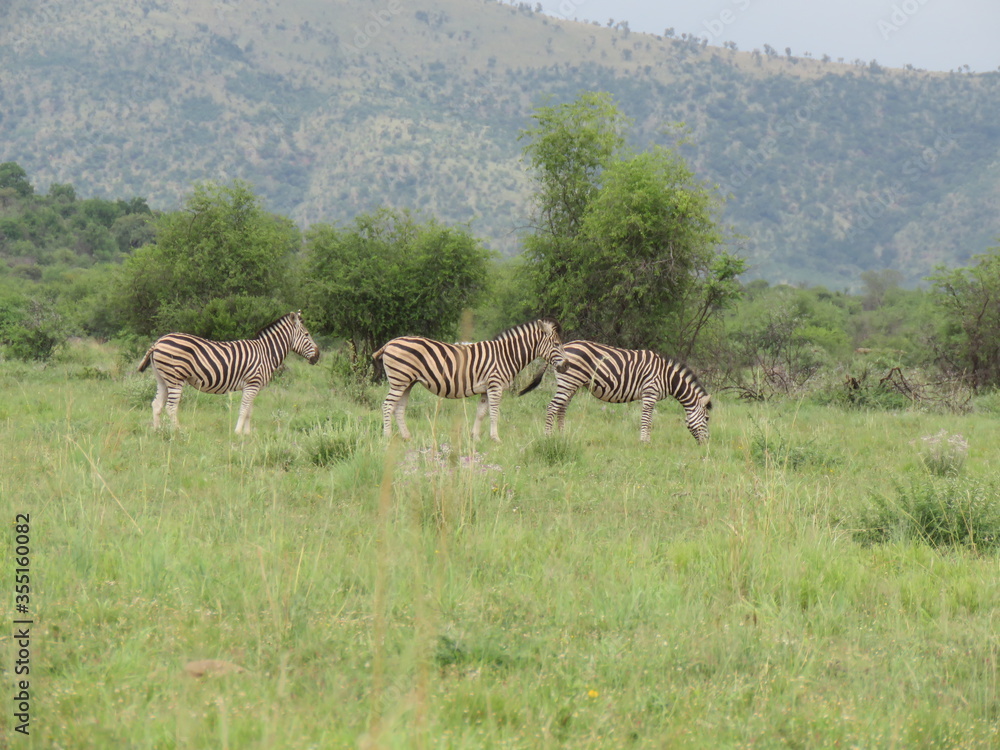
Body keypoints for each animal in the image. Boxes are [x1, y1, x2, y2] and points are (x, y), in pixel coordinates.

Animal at [137, 310, 320, 434]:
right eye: (307, 334)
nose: (318, 356)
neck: (266, 353)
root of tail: (158, 342)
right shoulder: (253, 383)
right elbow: (244, 409)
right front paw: (238, 432)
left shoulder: (253, 386)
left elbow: (249, 411)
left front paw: (247, 434)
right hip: (175, 378)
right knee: (171, 407)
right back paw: (178, 431)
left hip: (162, 379)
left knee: (157, 404)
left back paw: (158, 431)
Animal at [372, 319, 569, 442]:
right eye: (557, 345)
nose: (566, 366)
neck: (506, 355)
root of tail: (390, 342)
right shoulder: (495, 385)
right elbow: (494, 412)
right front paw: (496, 438)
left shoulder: (485, 389)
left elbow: (481, 413)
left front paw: (476, 437)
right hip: (399, 381)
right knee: (388, 405)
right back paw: (387, 436)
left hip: (407, 383)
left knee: (398, 408)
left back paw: (406, 437)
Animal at [519, 340, 711, 444]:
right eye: (707, 418)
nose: (706, 444)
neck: (667, 376)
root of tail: (563, 346)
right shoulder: (650, 392)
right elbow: (647, 419)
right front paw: (644, 441)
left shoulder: (650, 395)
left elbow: (649, 419)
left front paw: (646, 440)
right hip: (569, 382)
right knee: (552, 407)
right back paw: (548, 437)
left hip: (570, 384)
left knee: (561, 408)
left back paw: (562, 436)